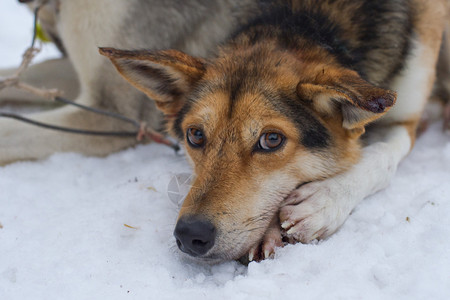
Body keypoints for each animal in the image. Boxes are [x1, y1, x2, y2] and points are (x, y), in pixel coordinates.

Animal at [0, 0, 450, 262]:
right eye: (195, 136)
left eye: (271, 139)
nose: (190, 236)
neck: (310, 13)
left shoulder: (402, 115)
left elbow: (379, 158)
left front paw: (322, 201)